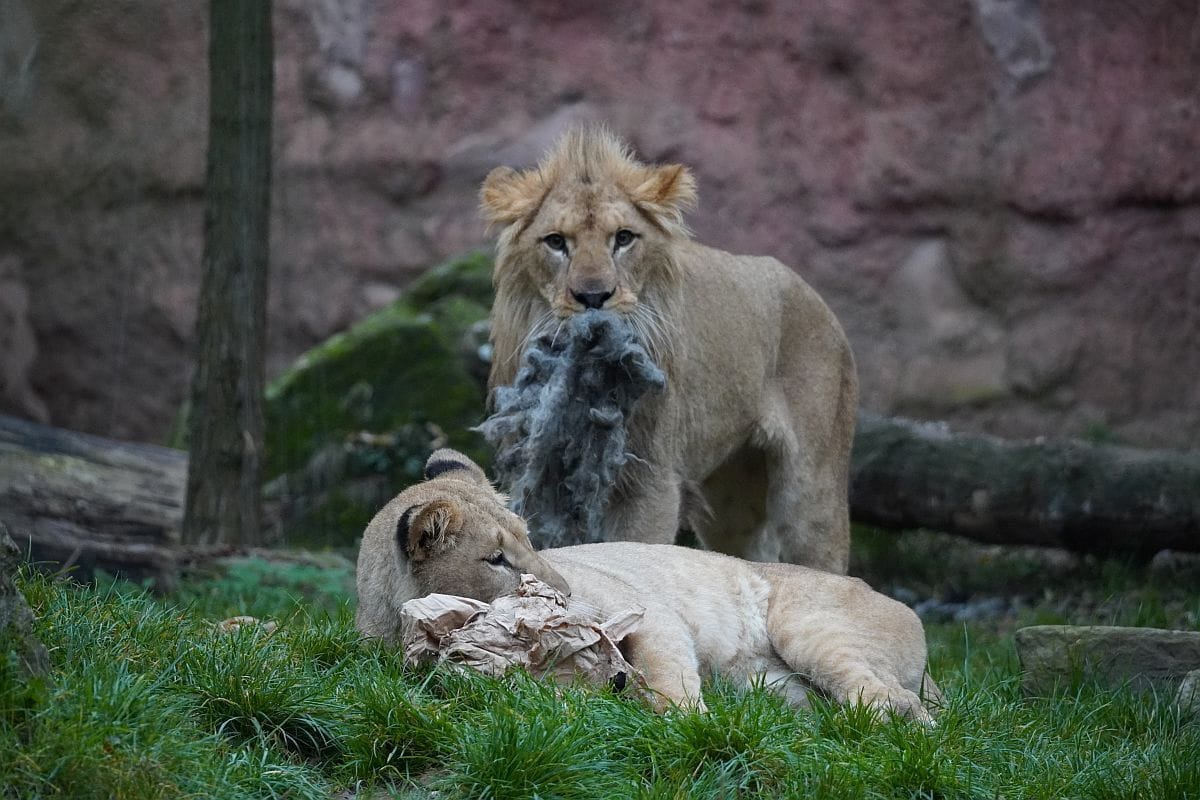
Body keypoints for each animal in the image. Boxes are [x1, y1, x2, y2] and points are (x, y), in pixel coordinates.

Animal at [482, 128, 859, 573]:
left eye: (623, 238)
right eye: (556, 242)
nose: (593, 296)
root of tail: (820, 302)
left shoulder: (652, 482)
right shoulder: (537, 475)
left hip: (811, 493)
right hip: (731, 500)